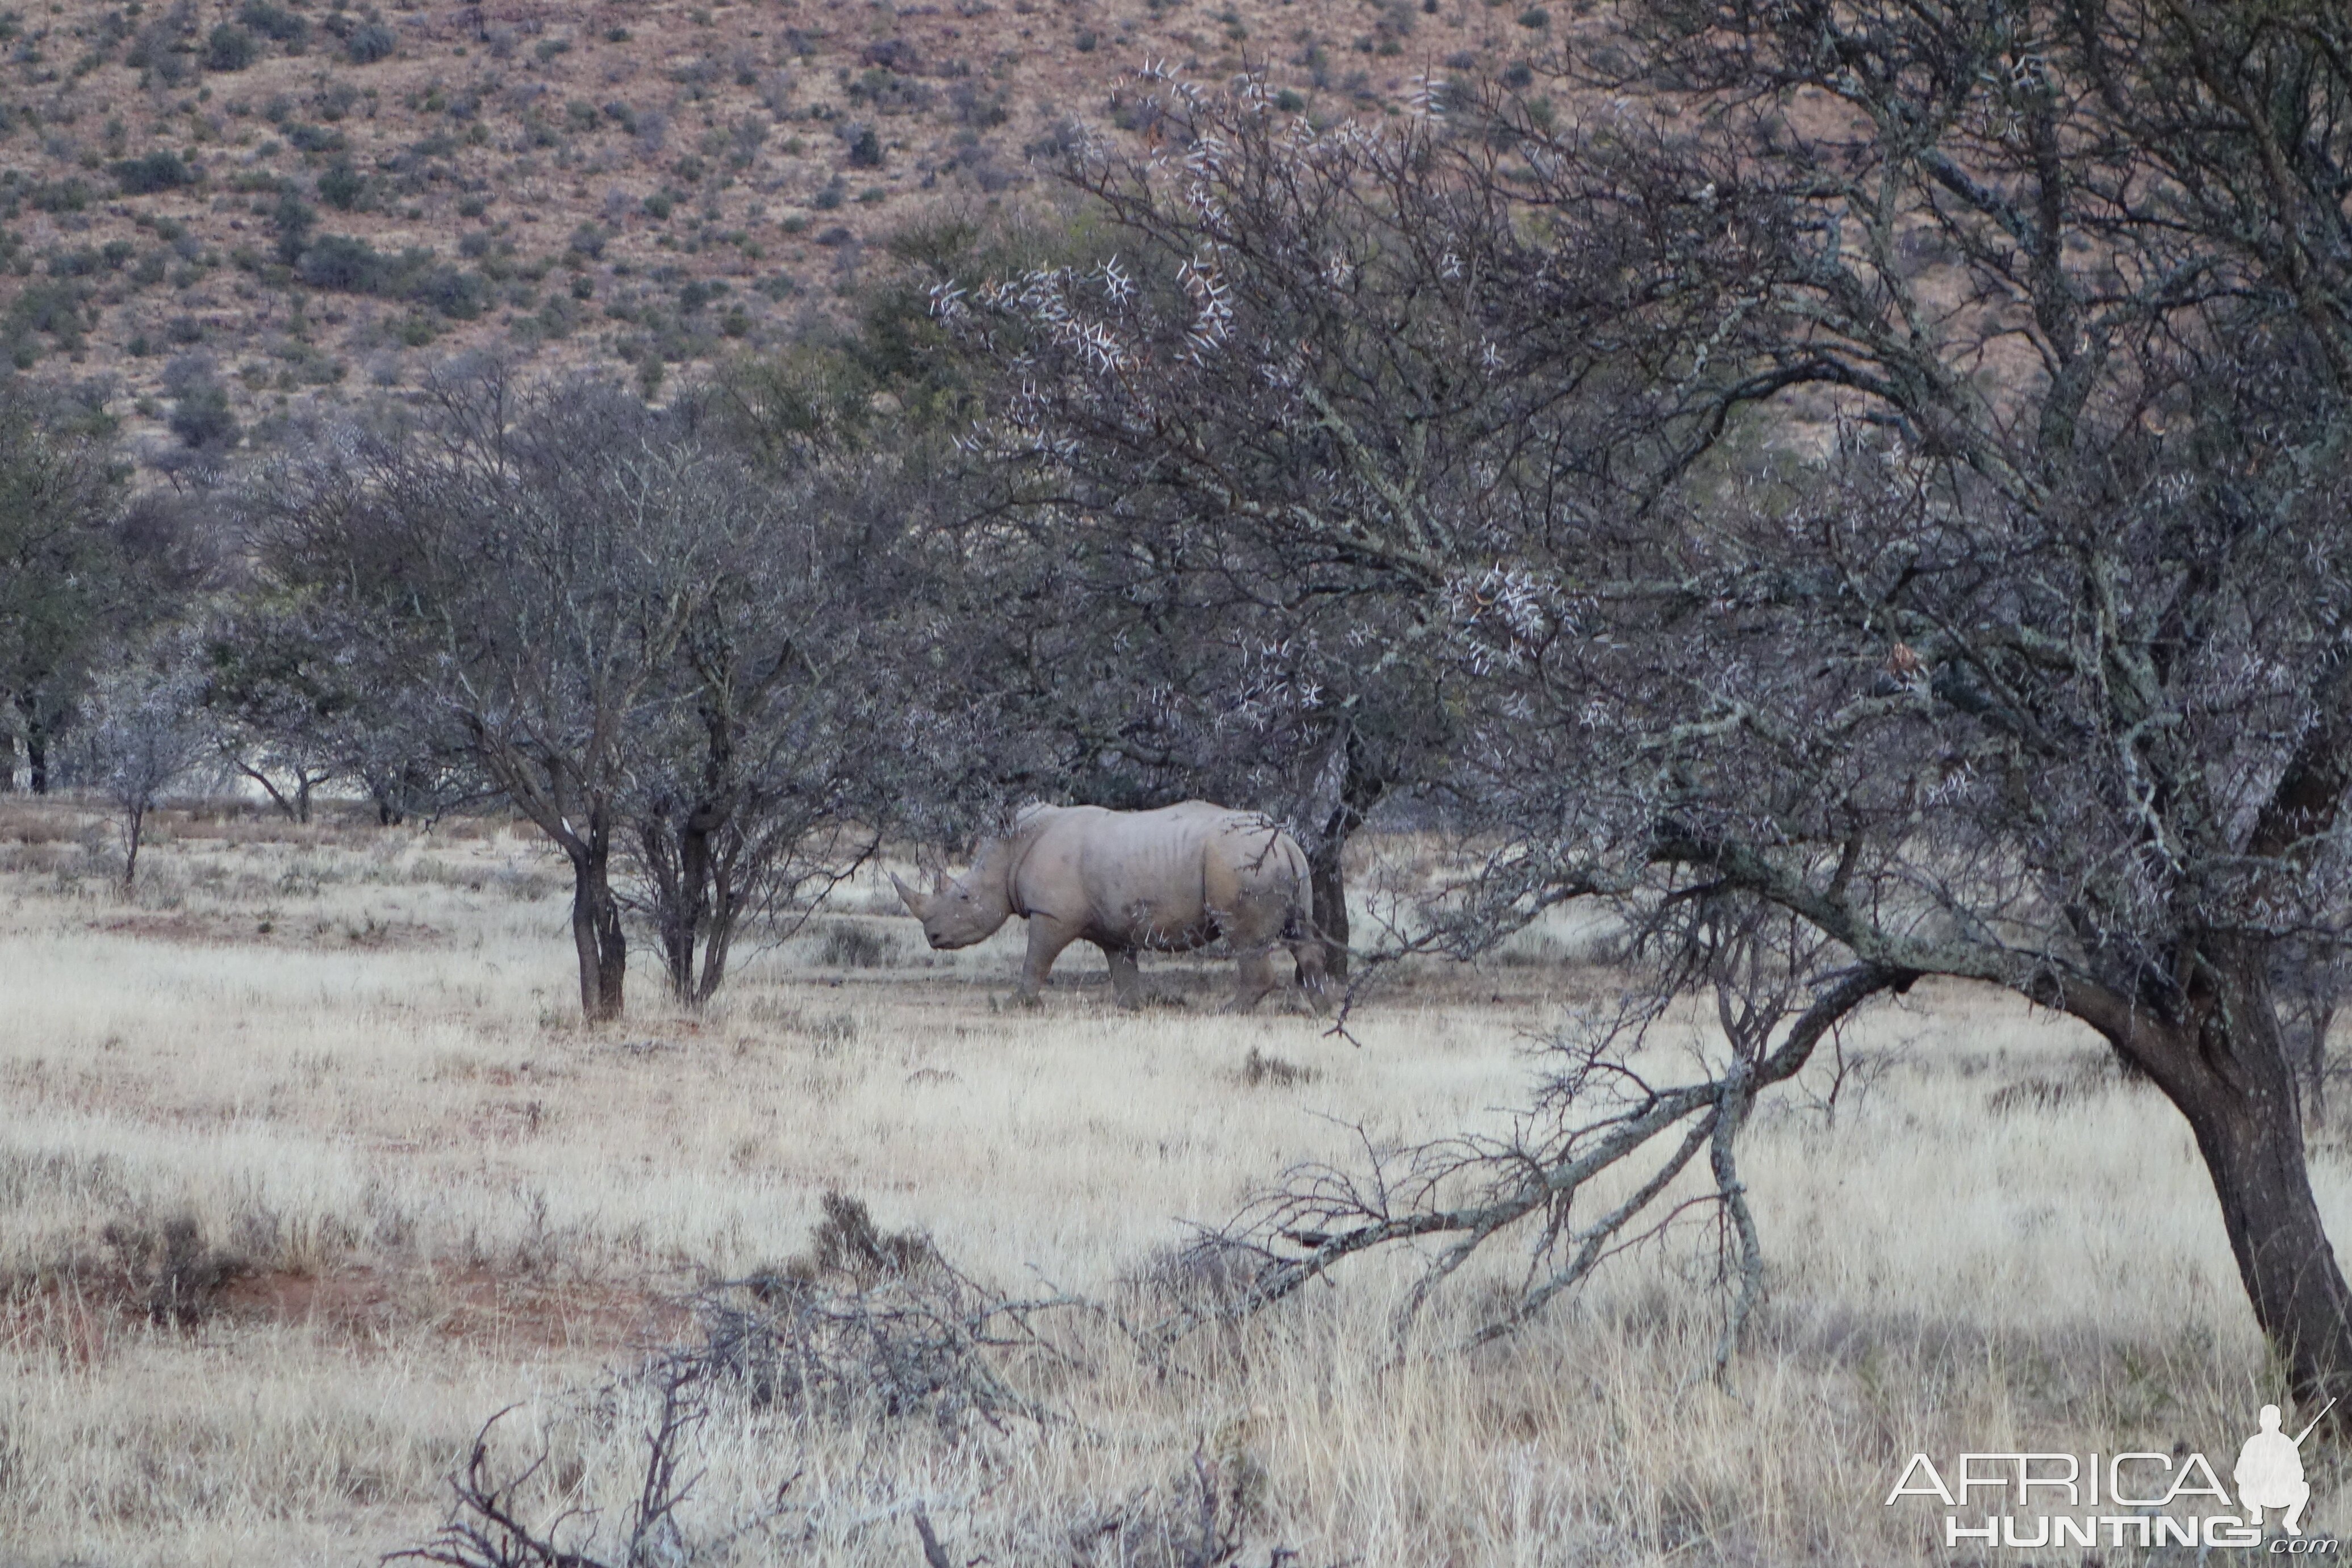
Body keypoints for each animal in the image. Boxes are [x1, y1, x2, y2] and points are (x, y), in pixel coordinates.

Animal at [884, 804, 1326, 1010]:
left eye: (964, 898)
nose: (933, 937)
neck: (1010, 852)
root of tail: (1287, 842)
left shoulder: (1051, 914)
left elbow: (1036, 959)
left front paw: (1017, 1003)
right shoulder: (1115, 921)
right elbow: (1121, 964)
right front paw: (1131, 1005)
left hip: (1239, 864)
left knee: (1244, 939)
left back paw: (1228, 1010)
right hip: (1276, 864)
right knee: (1301, 934)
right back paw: (1320, 1007)